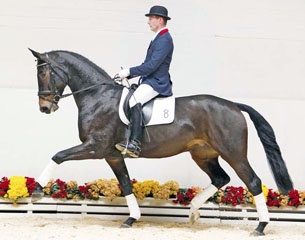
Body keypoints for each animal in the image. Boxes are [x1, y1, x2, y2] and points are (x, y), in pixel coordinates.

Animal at [29, 48, 292, 234]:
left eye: (43, 73)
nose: (44, 108)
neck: (98, 96)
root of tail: (234, 106)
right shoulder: (112, 155)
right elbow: (126, 184)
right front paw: (131, 219)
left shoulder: (95, 147)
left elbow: (58, 156)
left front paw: (37, 190)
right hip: (203, 154)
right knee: (221, 178)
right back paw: (193, 211)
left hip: (233, 153)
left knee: (253, 182)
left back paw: (260, 227)